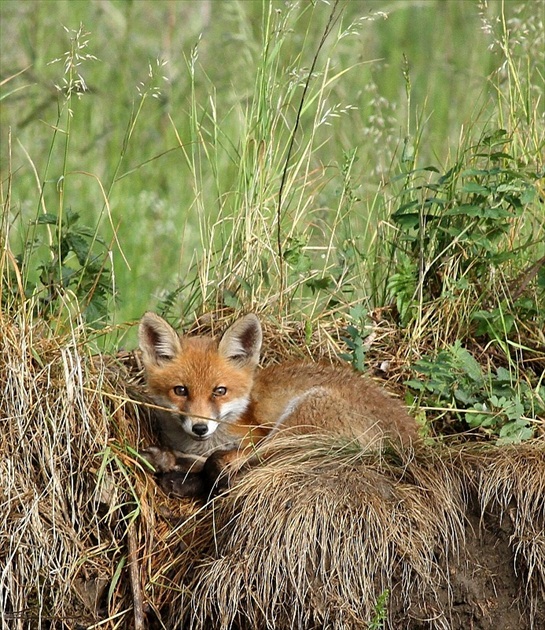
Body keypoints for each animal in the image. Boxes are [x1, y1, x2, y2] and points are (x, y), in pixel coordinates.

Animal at [137, 312, 416, 498]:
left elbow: (224, 461)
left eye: (220, 391)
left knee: (249, 465)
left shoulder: (254, 436)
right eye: (181, 391)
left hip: (298, 419)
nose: (200, 428)